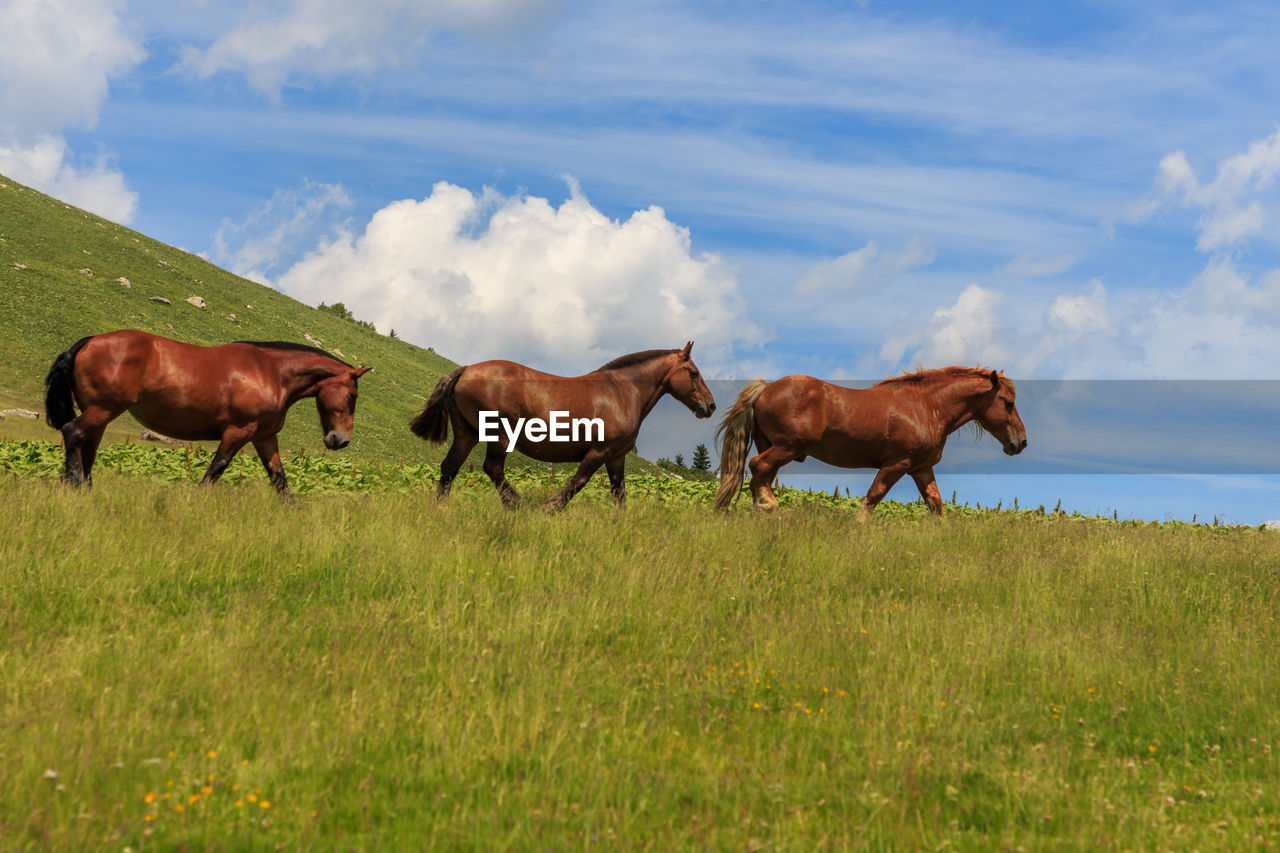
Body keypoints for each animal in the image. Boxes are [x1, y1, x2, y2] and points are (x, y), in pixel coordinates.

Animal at [42, 327, 368, 494]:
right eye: (352, 395)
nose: (341, 440)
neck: (273, 373)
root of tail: (89, 342)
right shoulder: (239, 431)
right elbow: (216, 469)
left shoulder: (264, 437)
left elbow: (280, 479)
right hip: (103, 409)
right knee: (73, 432)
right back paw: (72, 483)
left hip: (99, 413)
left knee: (88, 448)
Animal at [414, 340, 721, 512]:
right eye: (694, 372)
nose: (710, 406)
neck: (622, 392)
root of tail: (465, 370)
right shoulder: (598, 452)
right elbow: (577, 481)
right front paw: (548, 508)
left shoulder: (616, 456)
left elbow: (619, 492)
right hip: (499, 435)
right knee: (492, 468)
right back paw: (516, 504)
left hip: (466, 435)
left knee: (450, 468)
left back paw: (440, 507)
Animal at [716, 366, 1024, 517]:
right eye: (1008, 403)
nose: (1021, 442)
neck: (925, 408)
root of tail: (766, 387)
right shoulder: (897, 463)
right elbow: (874, 495)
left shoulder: (921, 468)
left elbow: (936, 504)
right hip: (787, 447)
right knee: (757, 467)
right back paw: (768, 506)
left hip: (773, 447)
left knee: (762, 475)